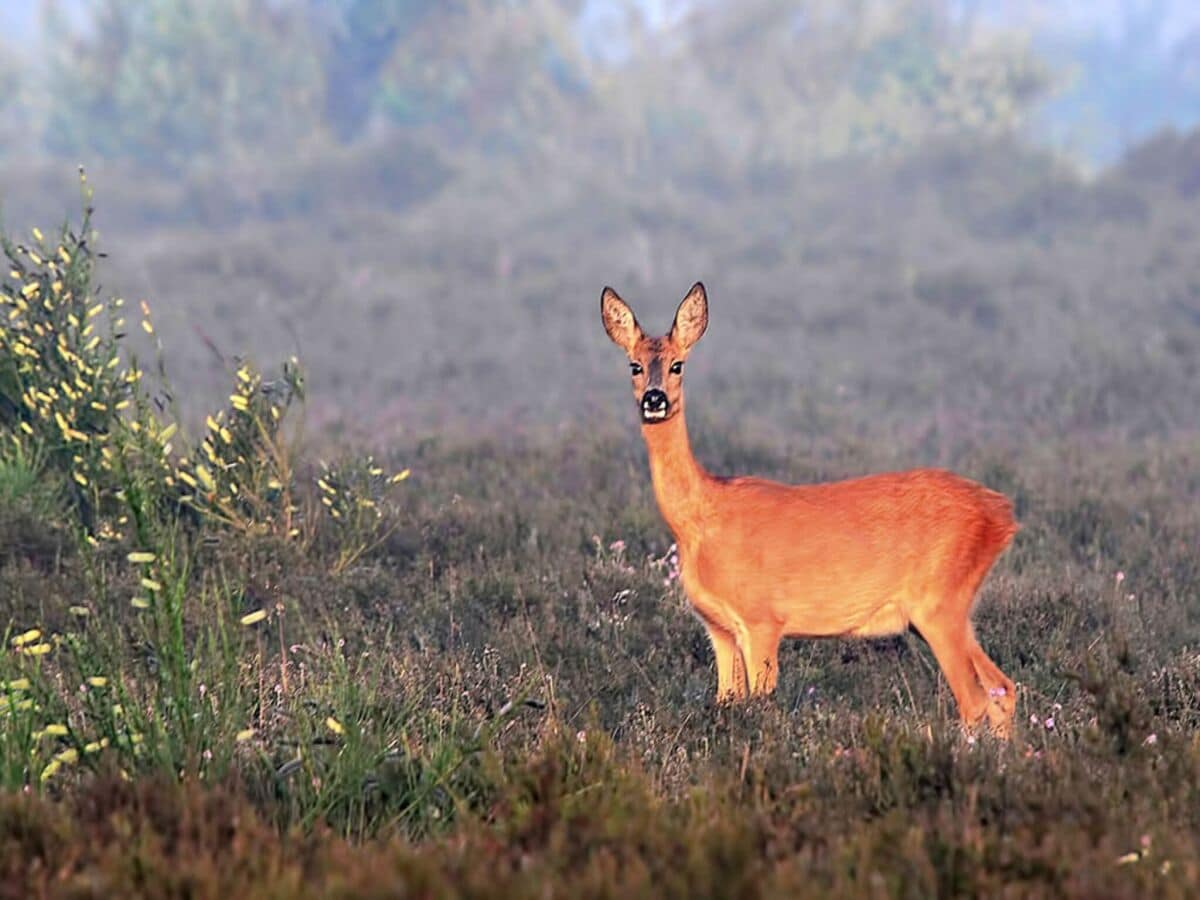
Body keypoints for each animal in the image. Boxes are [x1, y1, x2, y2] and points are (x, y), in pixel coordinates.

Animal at [604, 283, 1017, 739]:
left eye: (678, 365)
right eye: (634, 366)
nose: (654, 400)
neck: (701, 520)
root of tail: (1002, 514)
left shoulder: (763, 619)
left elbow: (759, 705)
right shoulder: (718, 627)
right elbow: (726, 701)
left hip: (938, 602)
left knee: (975, 701)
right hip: (951, 609)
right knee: (1003, 688)